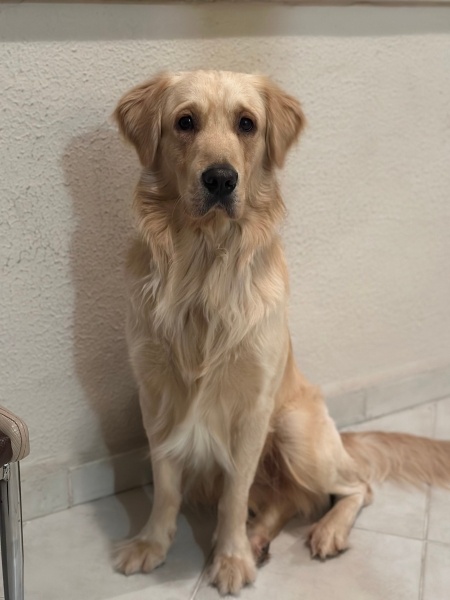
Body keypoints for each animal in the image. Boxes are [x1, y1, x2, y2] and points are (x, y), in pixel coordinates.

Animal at [111, 71, 450, 596]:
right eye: (184, 122)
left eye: (246, 124)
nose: (220, 179)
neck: (205, 267)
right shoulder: (156, 396)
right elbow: (166, 485)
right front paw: (152, 544)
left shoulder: (252, 410)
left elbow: (233, 495)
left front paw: (230, 558)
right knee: (285, 499)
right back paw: (259, 540)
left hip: (294, 429)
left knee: (356, 487)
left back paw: (322, 532)